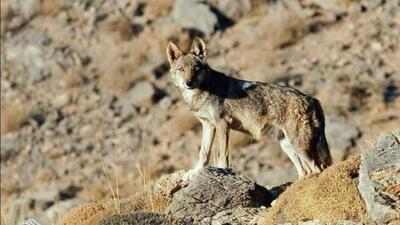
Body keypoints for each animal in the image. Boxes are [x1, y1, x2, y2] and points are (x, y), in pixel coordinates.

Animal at [166, 37, 332, 181]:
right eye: (181, 69)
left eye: (196, 68)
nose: (189, 83)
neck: (204, 90)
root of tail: (313, 100)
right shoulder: (208, 125)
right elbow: (203, 153)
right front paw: (195, 173)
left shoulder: (222, 123)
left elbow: (222, 155)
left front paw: (223, 171)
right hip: (287, 145)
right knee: (305, 171)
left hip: (299, 145)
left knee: (318, 167)